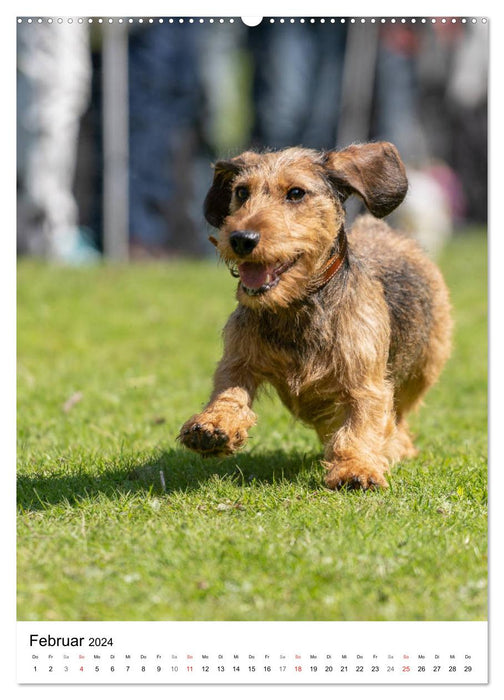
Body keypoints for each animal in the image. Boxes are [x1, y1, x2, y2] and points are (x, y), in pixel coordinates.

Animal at [178, 145, 452, 490]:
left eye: (296, 193)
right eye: (241, 192)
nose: (241, 238)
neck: (296, 309)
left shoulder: (366, 383)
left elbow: (361, 425)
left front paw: (356, 467)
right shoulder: (238, 360)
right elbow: (229, 392)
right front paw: (213, 425)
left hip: (424, 368)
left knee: (399, 416)